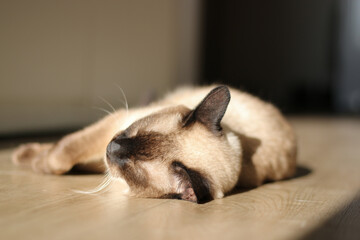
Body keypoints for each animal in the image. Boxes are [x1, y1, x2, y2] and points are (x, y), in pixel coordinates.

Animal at [12, 85, 296, 203]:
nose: (111, 147)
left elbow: (61, 158)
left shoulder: (105, 161)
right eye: (134, 132)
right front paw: (26, 157)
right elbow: (62, 153)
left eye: (131, 165)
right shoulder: (115, 122)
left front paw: (34, 162)